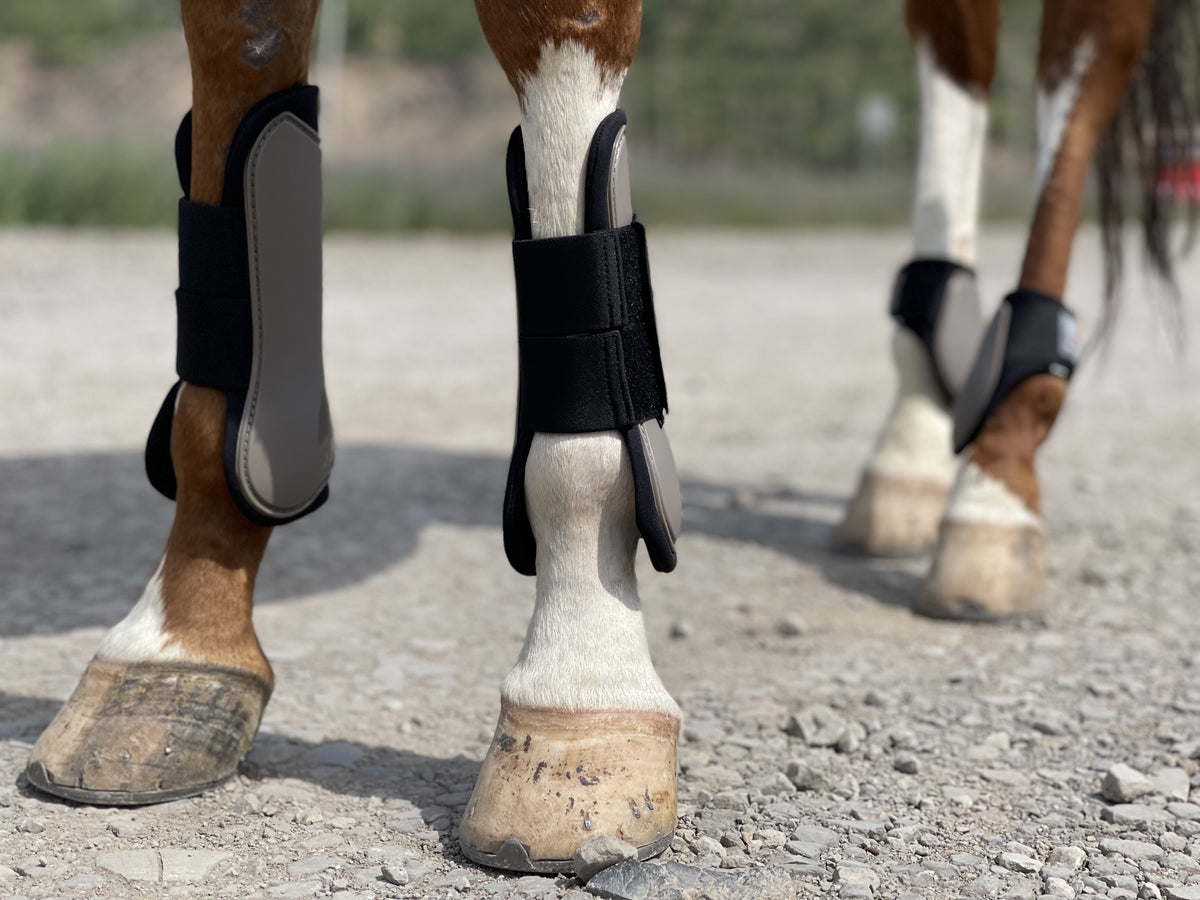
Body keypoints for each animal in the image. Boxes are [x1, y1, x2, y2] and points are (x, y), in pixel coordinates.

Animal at [19, 0, 1193, 877]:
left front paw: (580, 687)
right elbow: (244, 107)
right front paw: (174, 650)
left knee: (1080, 69)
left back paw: (994, 486)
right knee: (962, 57)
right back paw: (908, 459)